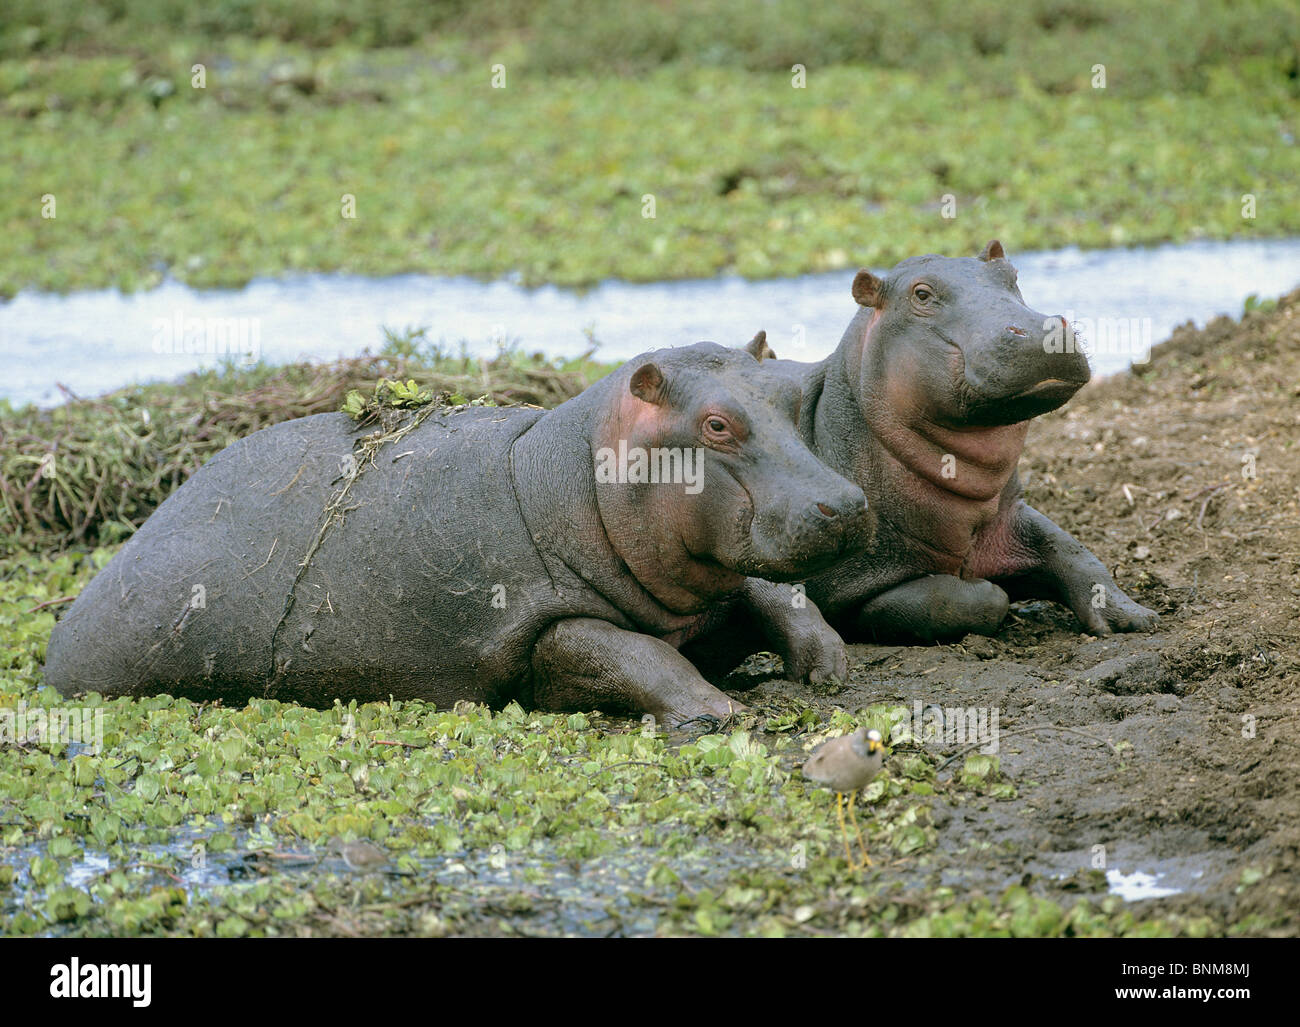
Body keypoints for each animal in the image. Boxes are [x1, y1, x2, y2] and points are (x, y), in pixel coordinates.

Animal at [43, 343, 873, 722]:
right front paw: (719, 712)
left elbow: (769, 591)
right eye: (717, 424)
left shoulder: (706, 580)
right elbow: (628, 652)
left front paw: (830, 666)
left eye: (790, 395)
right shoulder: (537, 630)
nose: (848, 502)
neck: (569, 475)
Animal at [754, 241, 1159, 644]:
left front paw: (1136, 619)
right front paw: (989, 591)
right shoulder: (851, 582)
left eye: (1012, 274)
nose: (1040, 327)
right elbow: (960, 601)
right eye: (921, 294)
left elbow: (1072, 551)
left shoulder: (1009, 515)